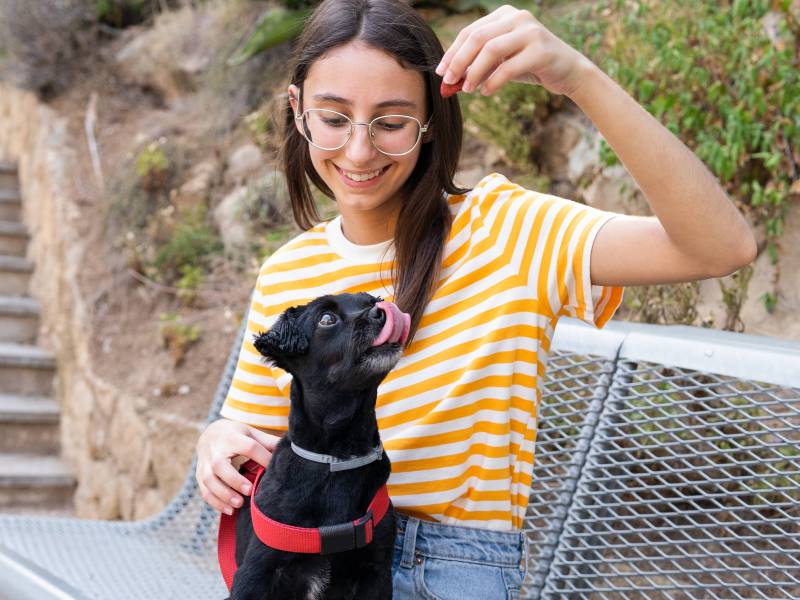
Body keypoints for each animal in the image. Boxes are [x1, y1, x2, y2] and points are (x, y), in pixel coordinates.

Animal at [227, 290, 410, 596]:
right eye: (326, 318)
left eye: (371, 301)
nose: (382, 312)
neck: (338, 458)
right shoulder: (255, 574)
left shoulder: (377, 572)